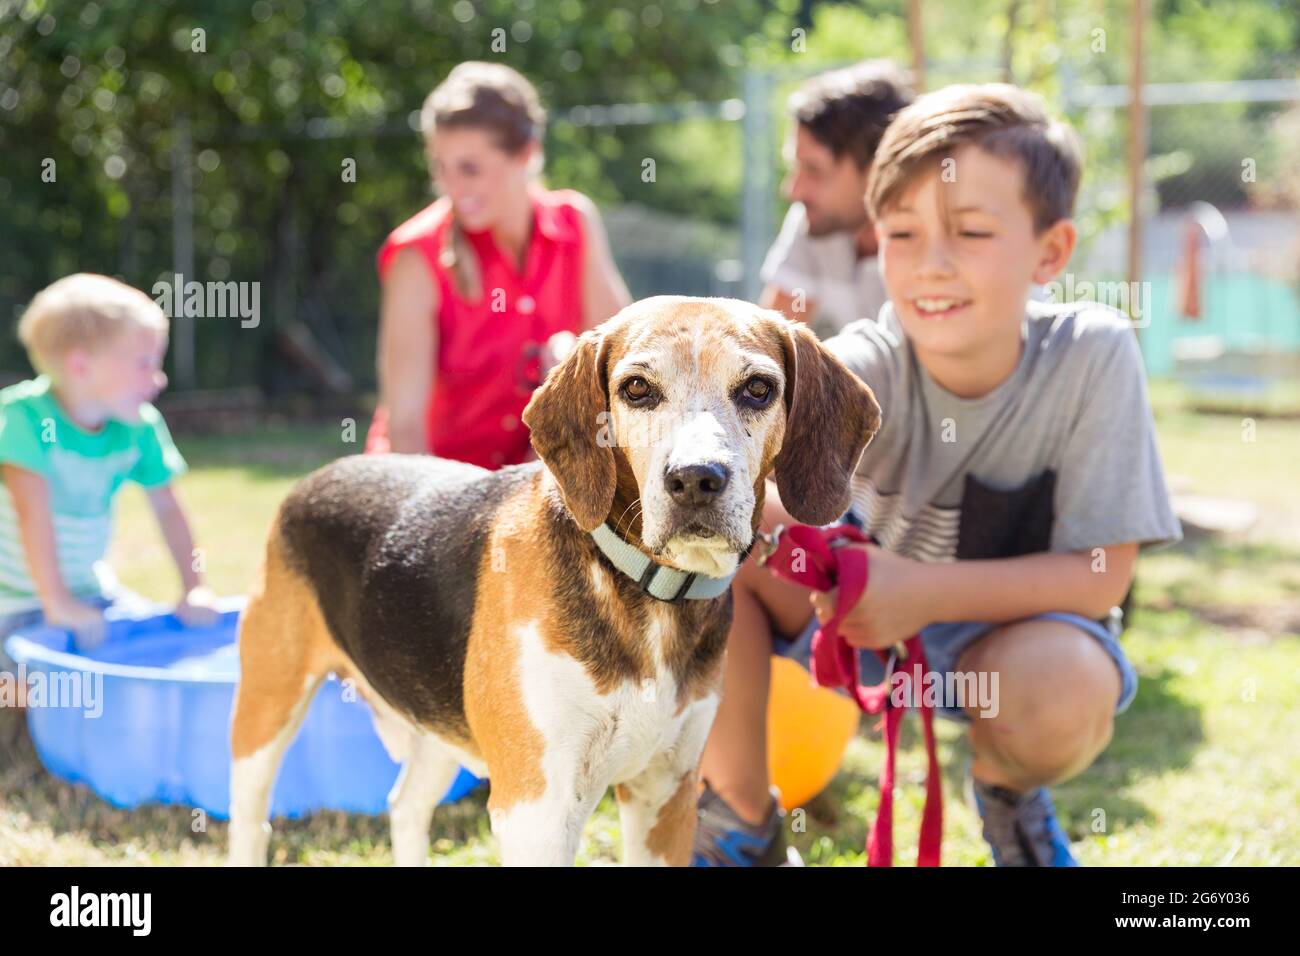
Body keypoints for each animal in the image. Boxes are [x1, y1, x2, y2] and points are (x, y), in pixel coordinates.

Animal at [228, 295, 883, 863]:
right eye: (636, 388)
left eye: (758, 389)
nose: (696, 479)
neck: (646, 591)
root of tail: (315, 480)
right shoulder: (537, 808)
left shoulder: (665, 795)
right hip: (264, 716)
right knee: (253, 823)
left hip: (437, 727)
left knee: (405, 807)